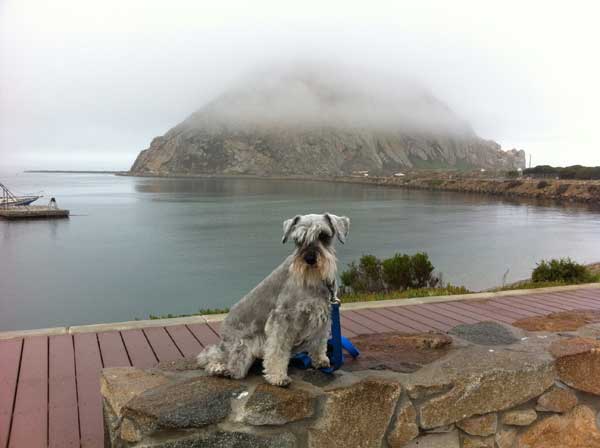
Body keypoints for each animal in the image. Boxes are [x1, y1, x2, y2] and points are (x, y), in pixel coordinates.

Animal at [197, 213, 350, 384]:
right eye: (298, 240)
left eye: (323, 235)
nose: (310, 259)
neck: (314, 280)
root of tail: (223, 335)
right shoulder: (282, 318)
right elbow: (277, 349)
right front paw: (277, 376)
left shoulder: (324, 315)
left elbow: (319, 341)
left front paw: (321, 360)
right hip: (241, 351)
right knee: (217, 359)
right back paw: (219, 369)